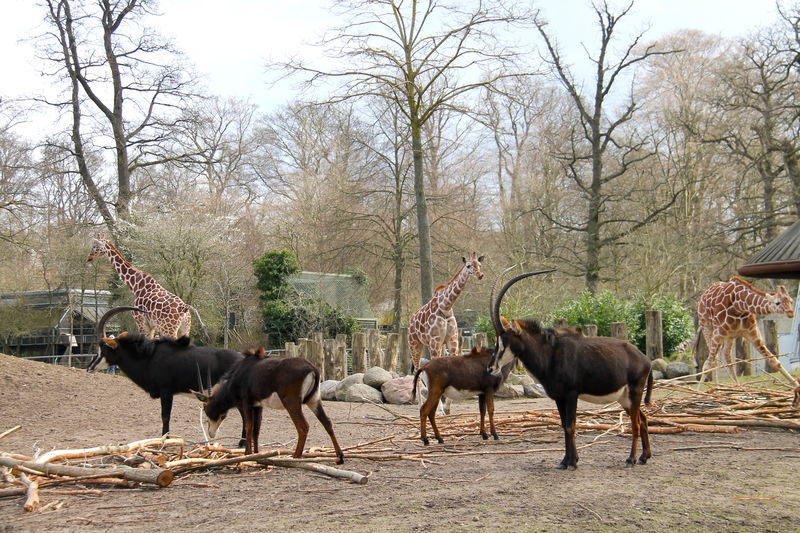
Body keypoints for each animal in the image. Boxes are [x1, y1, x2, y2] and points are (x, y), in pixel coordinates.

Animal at [89, 306, 245, 438]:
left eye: (103, 349)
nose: (90, 367)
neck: (149, 357)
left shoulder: (166, 391)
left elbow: (165, 416)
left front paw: (165, 438)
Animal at [195, 348, 346, 464]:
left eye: (206, 408)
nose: (211, 433)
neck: (239, 374)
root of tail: (312, 368)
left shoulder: (246, 403)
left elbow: (248, 427)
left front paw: (247, 453)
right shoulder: (258, 406)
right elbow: (256, 430)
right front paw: (257, 453)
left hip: (292, 403)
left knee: (303, 426)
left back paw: (296, 456)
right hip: (314, 400)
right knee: (327, 422)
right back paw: (340, 456)